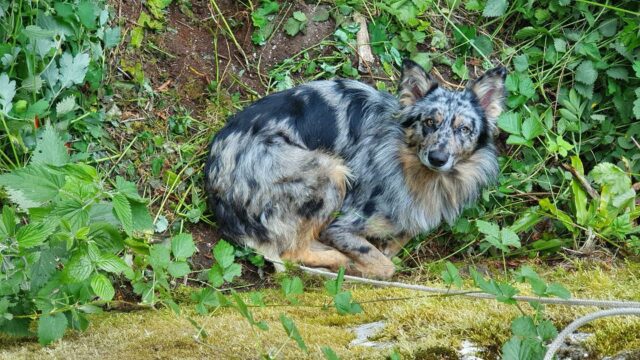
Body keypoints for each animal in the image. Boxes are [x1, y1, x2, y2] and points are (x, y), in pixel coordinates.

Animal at [205, 59, 504, 278]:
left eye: (463, 129)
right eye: (430, 122)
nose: (438, 157)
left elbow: (398, 239)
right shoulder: (342, 226)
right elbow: (384, 265)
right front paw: (360, 265)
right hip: (330, 171)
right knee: (292, 254)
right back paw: (339, 261)